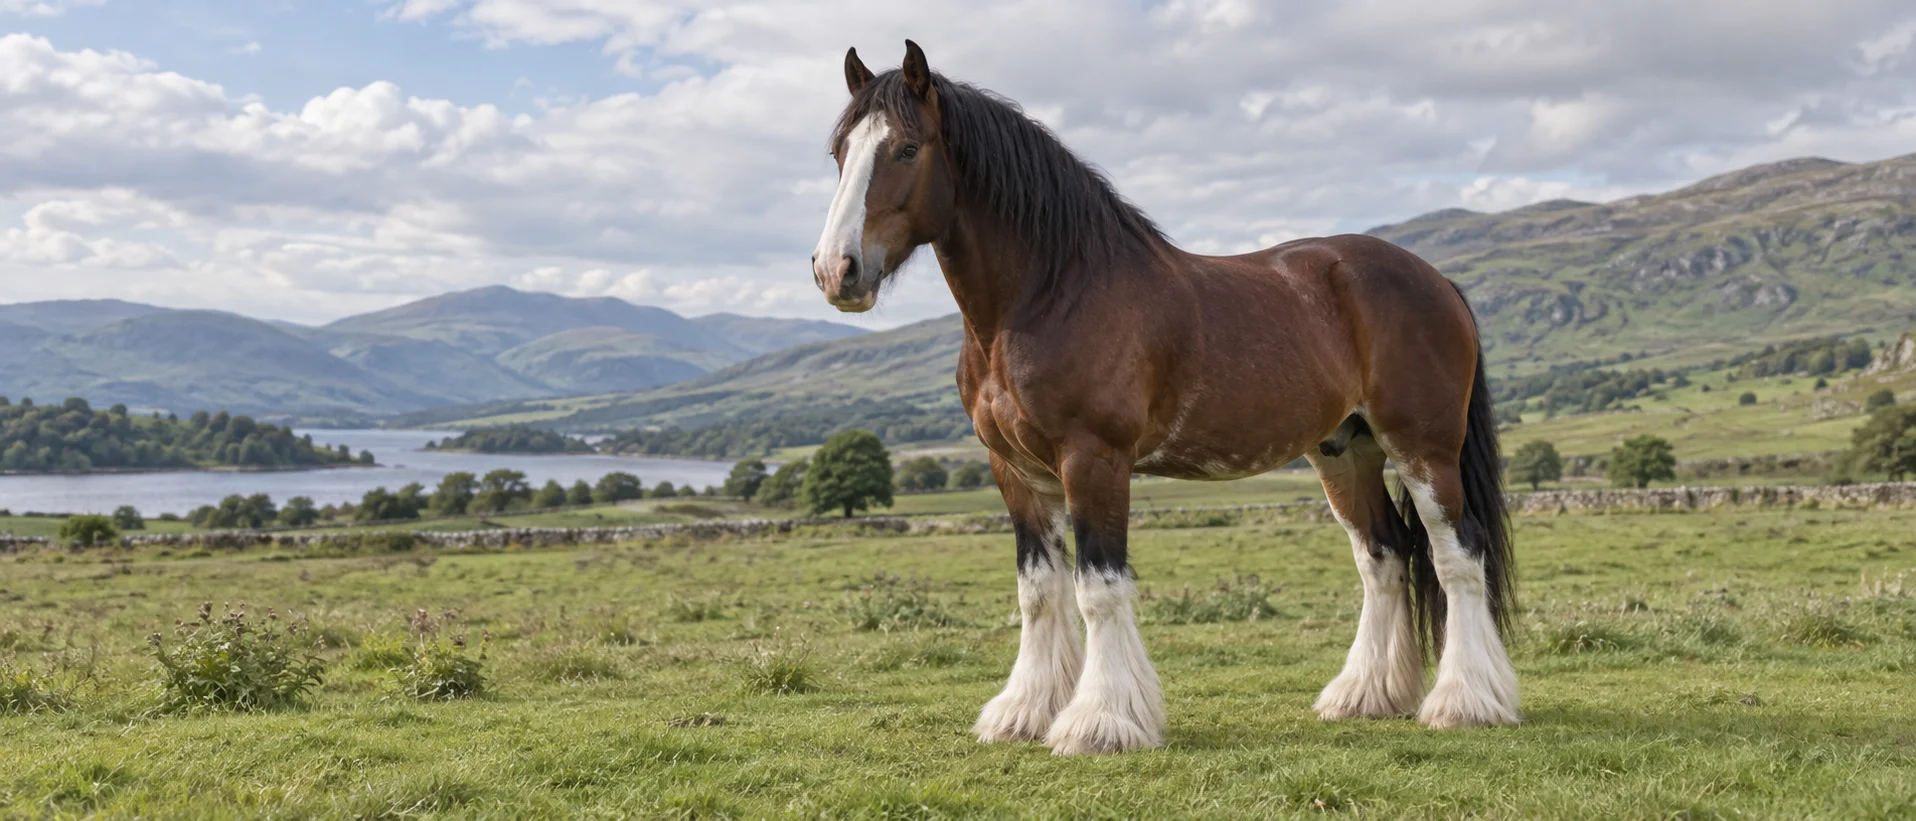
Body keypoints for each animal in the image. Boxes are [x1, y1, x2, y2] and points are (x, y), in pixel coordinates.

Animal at [809, 41, 1517, 755]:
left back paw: (1464, 702)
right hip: (1345, 451)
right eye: (840, 152)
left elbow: (1098, 589)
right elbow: (1038, 592)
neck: (1050, 293)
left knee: (1457, 557)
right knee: (1384, 557)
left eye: (906, 149)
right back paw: (1365, 696)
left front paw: (1100, 722)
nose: (836, 271)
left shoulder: (1093, 459)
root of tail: (1435, 280)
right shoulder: (1014, 471)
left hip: (1423, 447)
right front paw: (1024, 713)